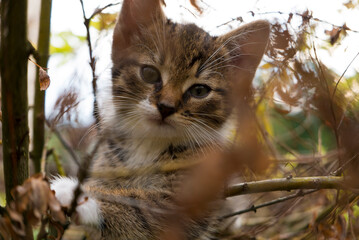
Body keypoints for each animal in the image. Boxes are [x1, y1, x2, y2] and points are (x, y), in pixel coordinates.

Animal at [50, 0, 270, 239]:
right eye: (149, 73)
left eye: (199, 90)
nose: (166, 107)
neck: (149, 145)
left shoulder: (193, 190)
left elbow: (143, 210)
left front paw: (80, 197)